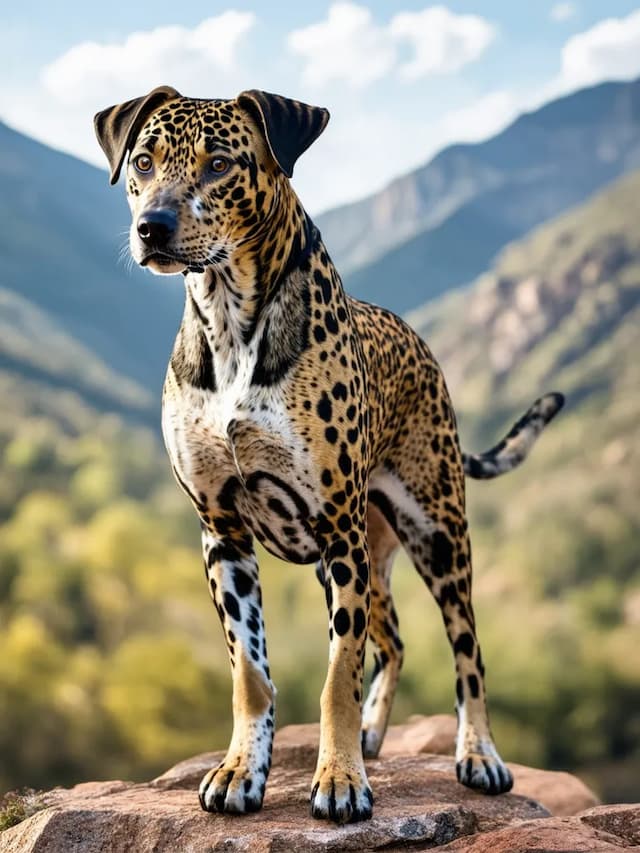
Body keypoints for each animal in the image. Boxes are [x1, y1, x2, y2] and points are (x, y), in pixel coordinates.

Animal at [92, 88, 564, 824]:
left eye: (220, 164)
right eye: (143, 160)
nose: (153, 227)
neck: (231, 325)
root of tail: (419, 345)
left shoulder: (338, 534)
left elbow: (338, 671)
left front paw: (339, 778)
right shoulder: (223, 534)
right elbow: (251, 674)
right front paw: (242, 770)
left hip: (435, 536)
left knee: (467, 654)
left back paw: (477, 754)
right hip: (366, 554)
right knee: (393, 640)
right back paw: (373, 733)